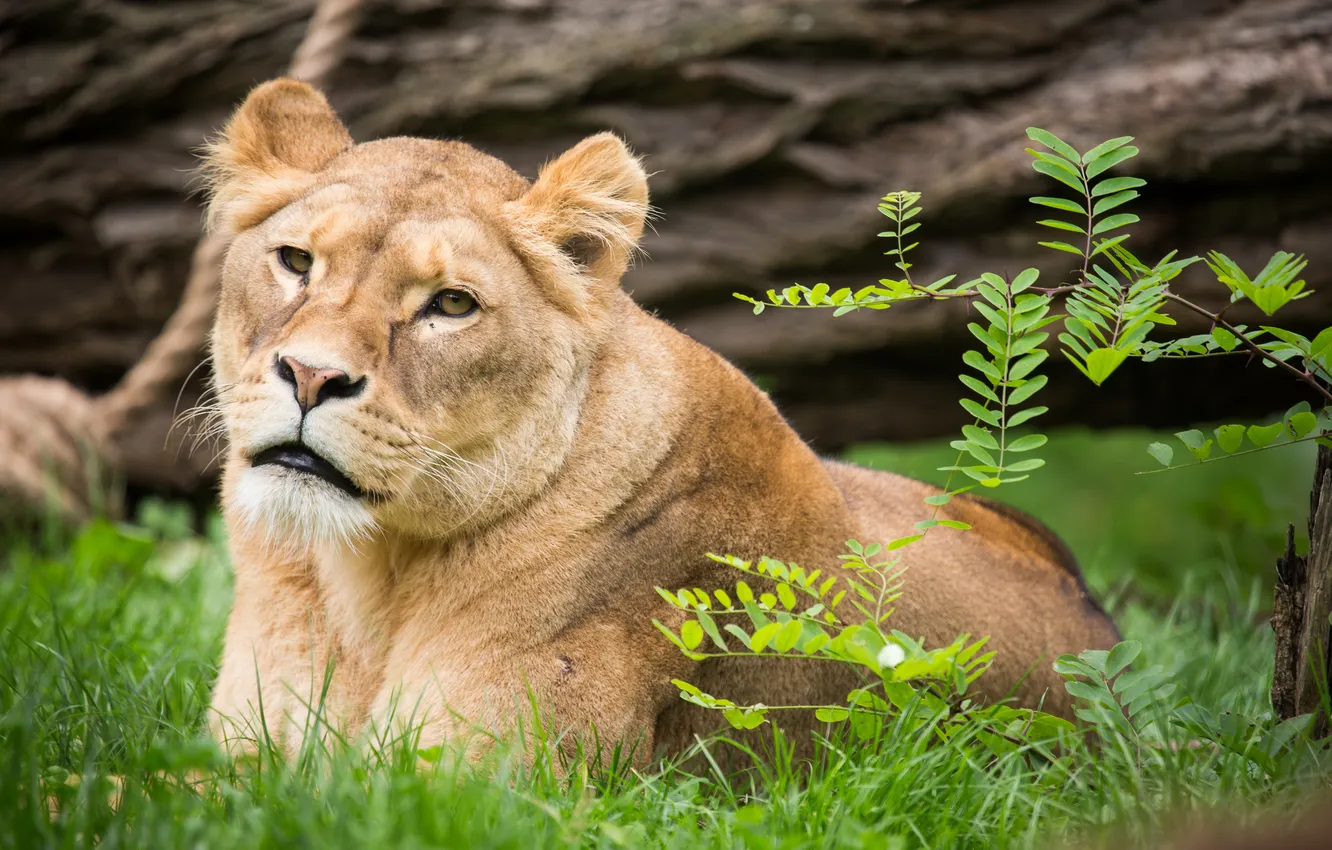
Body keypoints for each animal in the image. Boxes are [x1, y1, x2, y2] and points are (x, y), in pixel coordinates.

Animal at [204, 79, 1119, 764]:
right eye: (295, 261)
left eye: (452, 305)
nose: (312, 376)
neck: (367, 578)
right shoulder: (245, 757)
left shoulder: (485, 788)